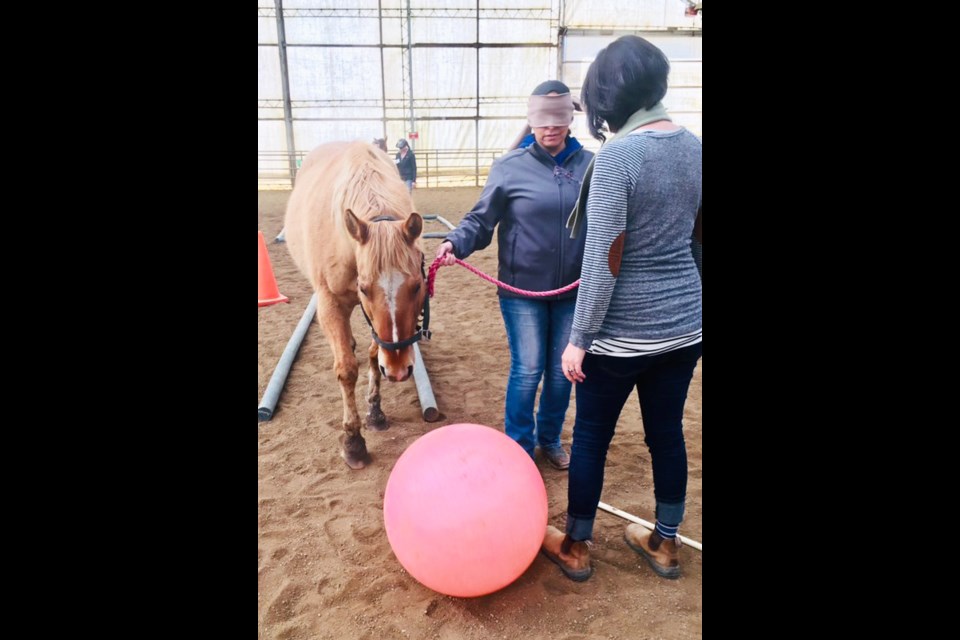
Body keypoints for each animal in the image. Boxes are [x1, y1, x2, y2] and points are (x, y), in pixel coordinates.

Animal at [284, 141, 428, 470]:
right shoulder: (330, 303)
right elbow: (347, 370)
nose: (398, 371)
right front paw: (353, 441)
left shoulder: (376, 324)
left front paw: (375, 412)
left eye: (417, 285)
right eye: (364, 287)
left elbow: (375, 354)